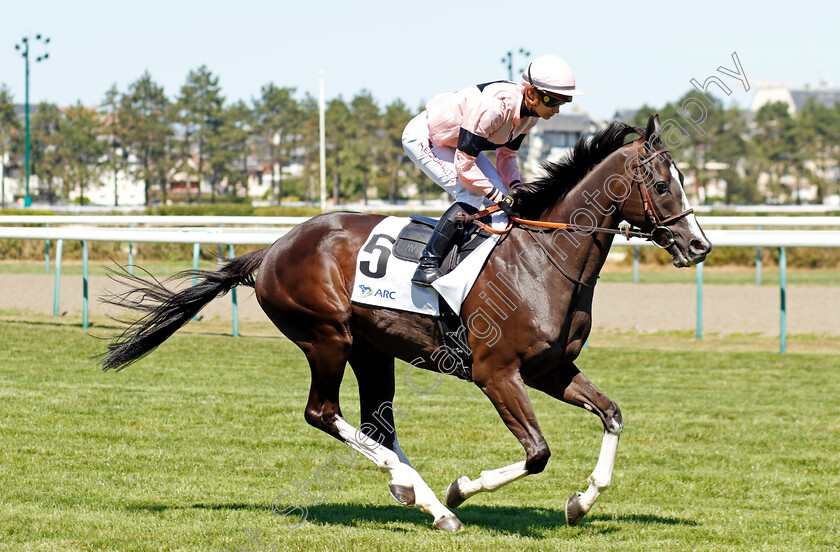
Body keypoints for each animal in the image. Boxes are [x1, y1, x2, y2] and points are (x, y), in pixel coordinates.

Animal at [101, 115, 712, 532]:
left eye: (683, 179)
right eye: (662, 185)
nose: (699, 246)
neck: (543, 259)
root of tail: (270, 250)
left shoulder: (551, 369)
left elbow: (612, 414)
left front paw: (581, 502)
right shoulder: (497, 373)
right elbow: (537, 452)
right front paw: (464, 486)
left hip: (373, 350)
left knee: (378, 428)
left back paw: (421, 497)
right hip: (327, 337)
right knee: (323, 413)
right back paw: (431, 498)